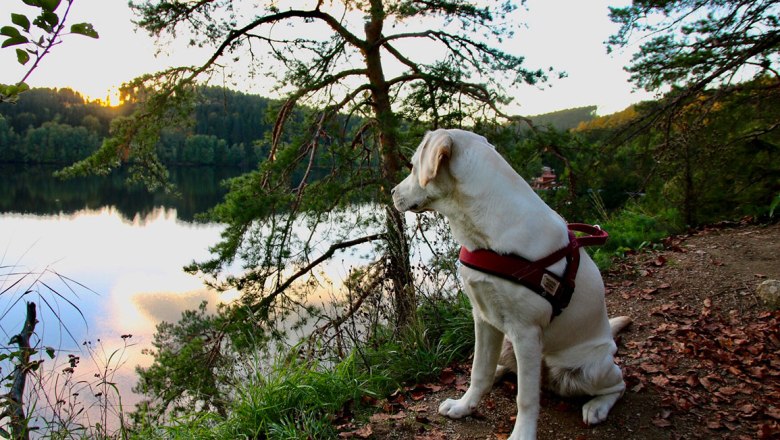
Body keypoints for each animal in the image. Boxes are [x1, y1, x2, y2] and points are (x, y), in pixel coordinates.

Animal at [394, 129, 632, 440]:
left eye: (412, 166)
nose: (392, 193)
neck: (484, 231)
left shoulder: (526, 331)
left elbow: (526, 398)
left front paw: (522, 434)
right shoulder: (483, 317)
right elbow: (478, 371)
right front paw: (464, 406)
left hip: (589, 368)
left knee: (620, 384)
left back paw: (597, 407)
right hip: (509, 344)